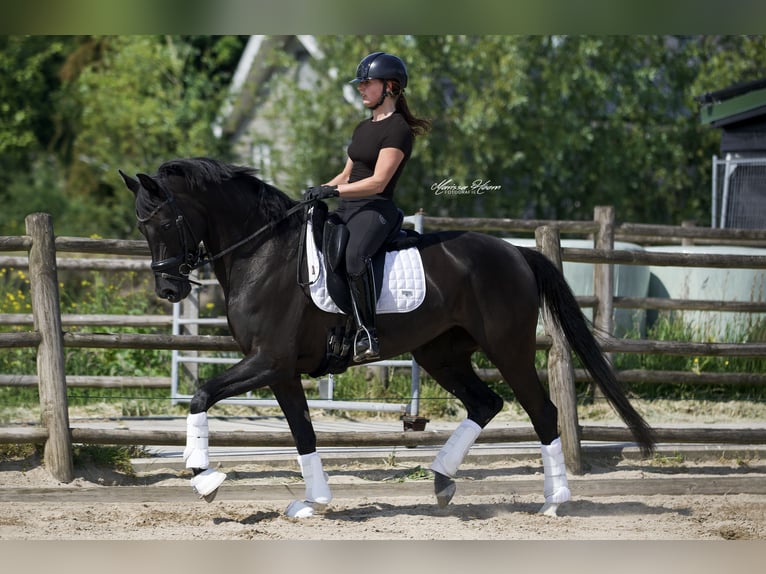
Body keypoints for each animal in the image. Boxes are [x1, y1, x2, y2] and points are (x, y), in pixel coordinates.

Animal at [120, 157, 655, 518]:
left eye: (164, 221)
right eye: (141, 227)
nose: (169, 289)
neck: (263, 252)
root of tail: (516, 252)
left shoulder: (267, 361)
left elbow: (200, 394)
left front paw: (205, 478)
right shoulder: (280, 370)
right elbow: (302, 432)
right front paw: (313, 501)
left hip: (508, 349)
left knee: (543, 412)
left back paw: (554, 500)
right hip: (441, 354)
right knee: (486, 404)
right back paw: (442, 481)